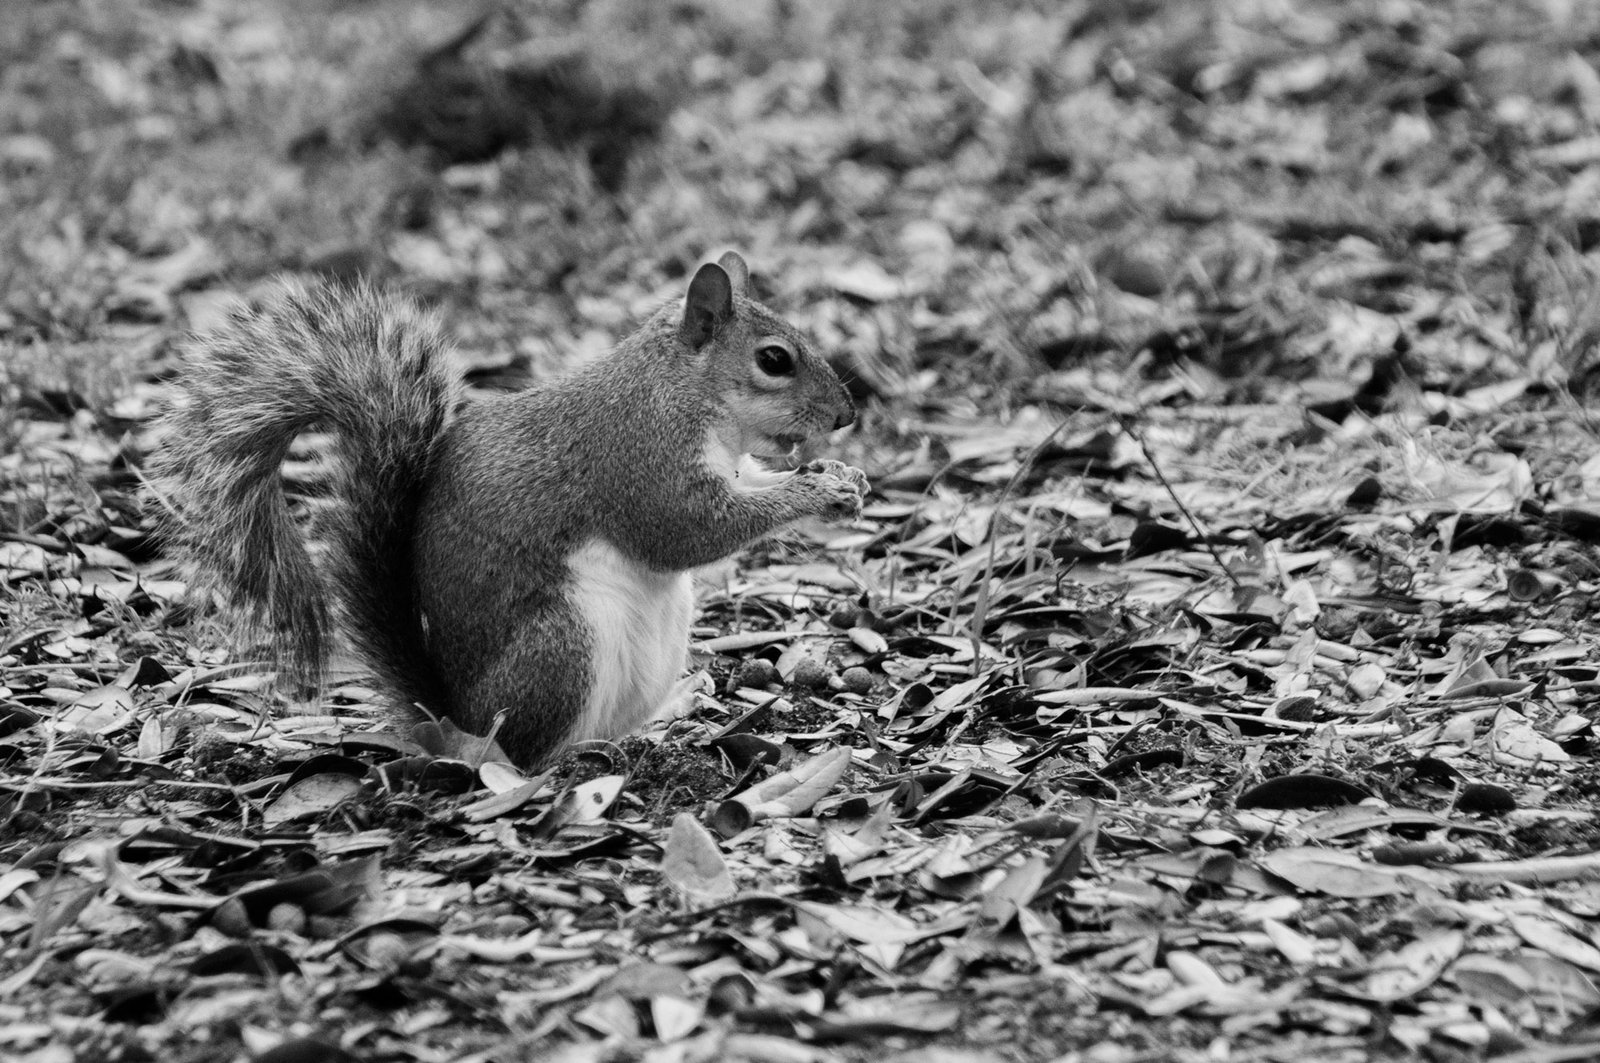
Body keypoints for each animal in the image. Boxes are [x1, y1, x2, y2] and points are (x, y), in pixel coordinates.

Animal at [152, 252, 869, 767]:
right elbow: (688, 532)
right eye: (773, 360)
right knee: (521, 752)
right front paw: (816, 491)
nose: (846, 416)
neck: (681, 389)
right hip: (562, 647)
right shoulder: (639, 457)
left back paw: (651, 729)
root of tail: (455, 717)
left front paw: (841, 476)